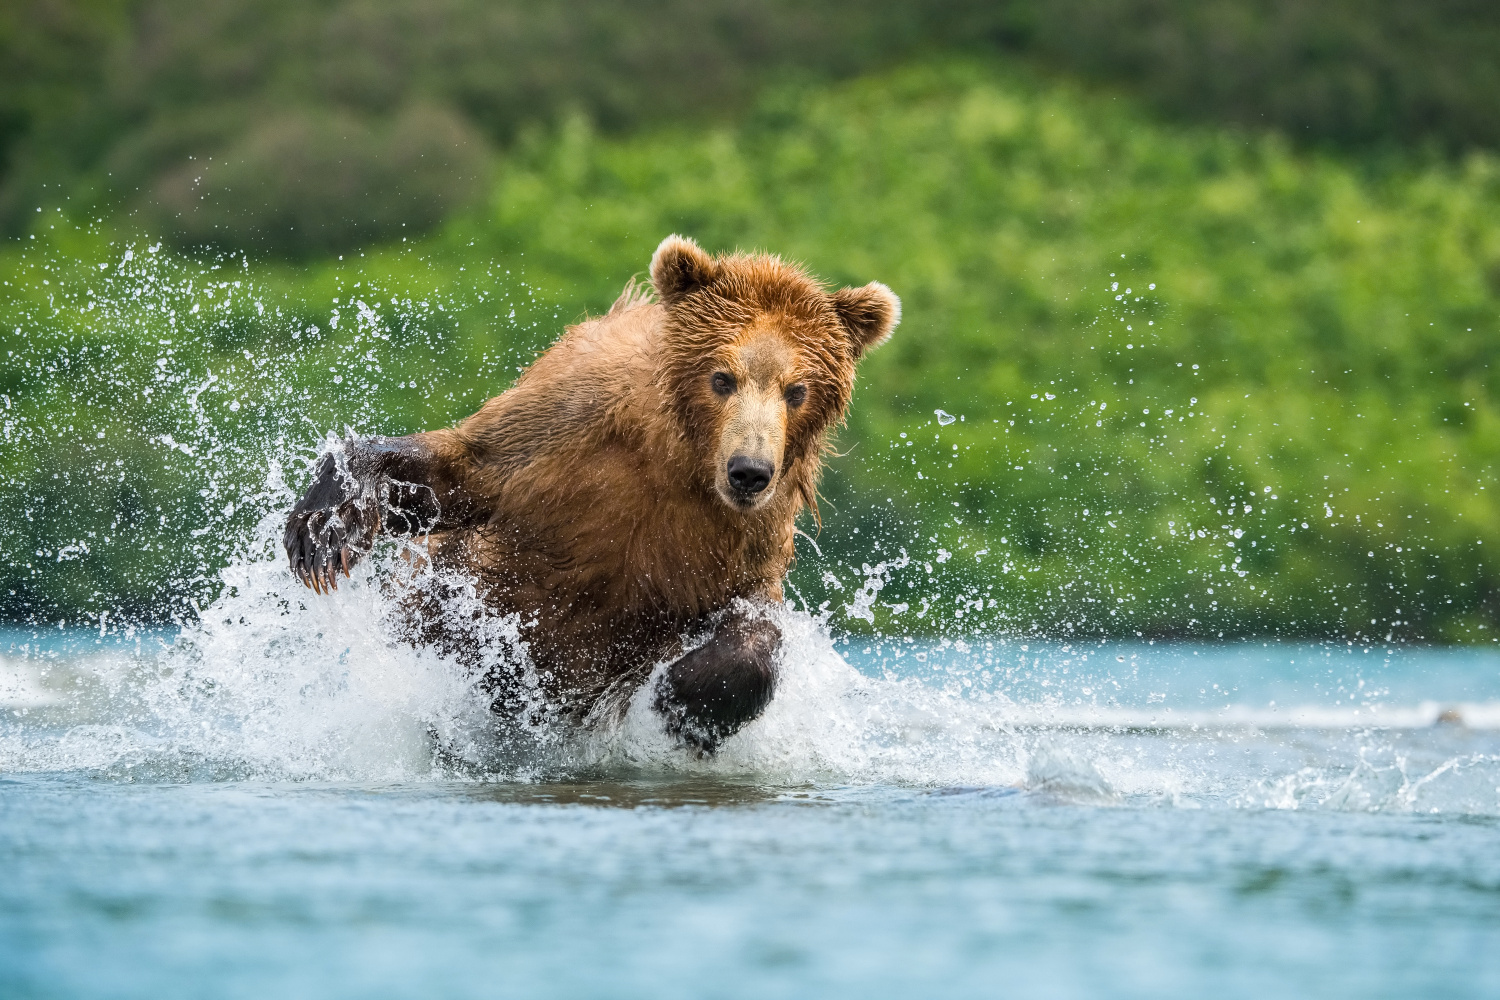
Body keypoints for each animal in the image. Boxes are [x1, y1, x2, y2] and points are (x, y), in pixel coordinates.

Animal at [285, 236, 894, 749]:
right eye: (722, 377)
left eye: (797, 390)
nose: (749, 470)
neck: (678, 458)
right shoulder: (570, 427)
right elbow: (456, 474)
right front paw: (323, 529)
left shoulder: (741, 536)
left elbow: (753, 618)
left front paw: (685, 698)